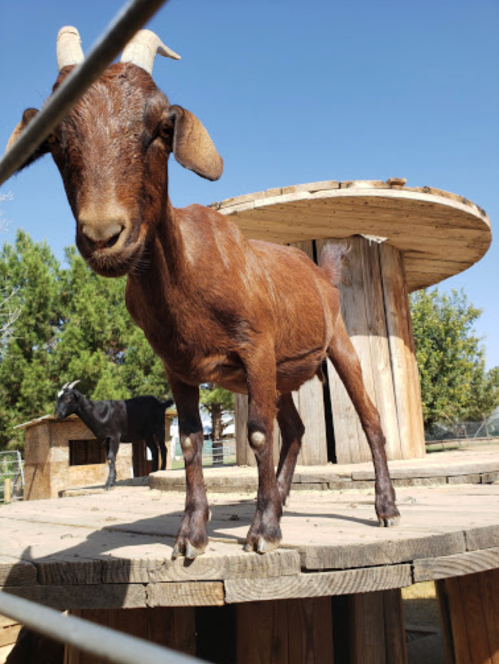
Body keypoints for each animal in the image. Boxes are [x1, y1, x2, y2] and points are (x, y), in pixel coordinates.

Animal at [8, 27, 399, 559]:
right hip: (281, 373)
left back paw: (384, 507)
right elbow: (192, 442)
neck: (188, 282)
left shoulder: (256, 347)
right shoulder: (179, 366)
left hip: (337, 344)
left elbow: (258, 435)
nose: (104, 235)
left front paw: (263, 532)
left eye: (160, 127)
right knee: (296, 429)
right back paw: (280, 500)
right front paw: (192, 535)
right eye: (53, 139)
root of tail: (322, 271)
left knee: (370, 419)